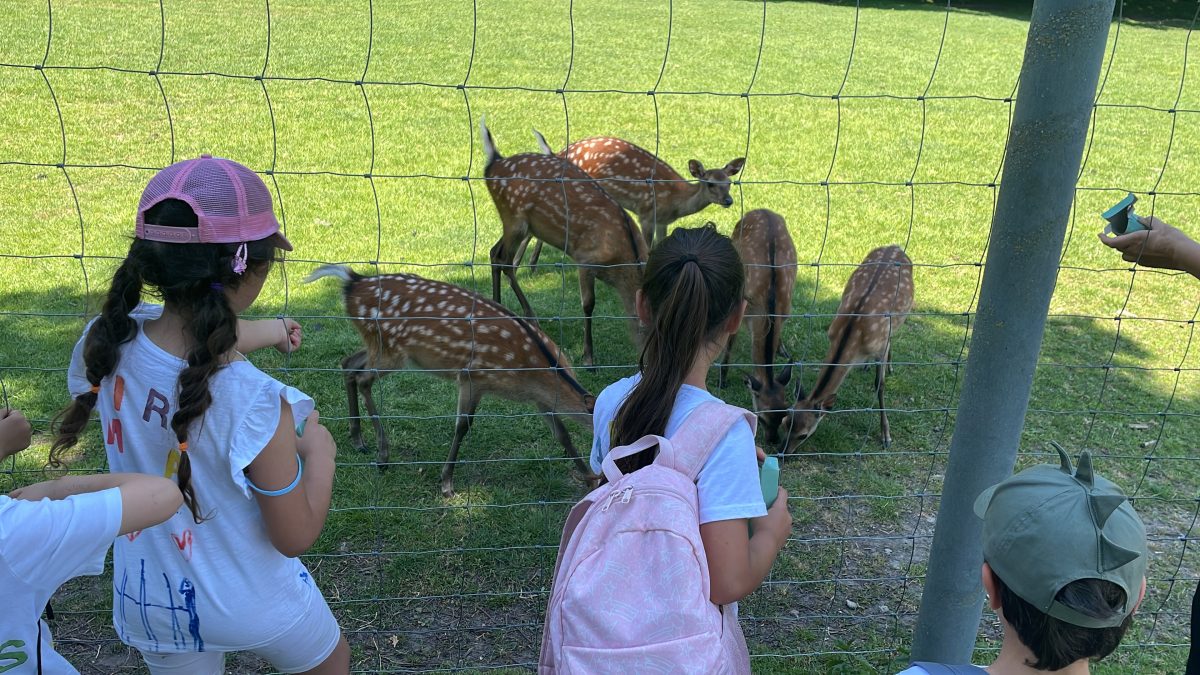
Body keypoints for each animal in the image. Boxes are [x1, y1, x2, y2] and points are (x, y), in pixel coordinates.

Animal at [304, 263, 595, 494]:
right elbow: (462, 426)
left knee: (348, 364)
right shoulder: (472, 376)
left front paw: (590, 478)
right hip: (391, 350)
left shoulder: (538, 399)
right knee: (363, 379)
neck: (531, 371)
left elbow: (562, 434)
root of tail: (352, 282)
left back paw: (358, 440)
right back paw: (382, 455)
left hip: (378, 347)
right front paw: (446, 483)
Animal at [480, 118, 648, 365]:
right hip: (514, 218)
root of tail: (494, 162)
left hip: (519, 224)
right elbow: (588, 304)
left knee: (495, 252)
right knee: (504, 259)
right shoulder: (585, 258)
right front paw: (589, 358)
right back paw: (527, 316)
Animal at [530, 130, 744, 261]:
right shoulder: (647, 212)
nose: (728, 200)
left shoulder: (663, 221)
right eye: (710, 183)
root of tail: (559, 153)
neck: (675, 200)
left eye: (729, 183)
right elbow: (648, 248)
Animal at [720, 207, 796, 444]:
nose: (773, 441)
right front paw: (722, 379)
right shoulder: (741, 306)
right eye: (761, 418)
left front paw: (782, 349)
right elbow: (729, 342)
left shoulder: (785, 310)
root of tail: (762, 210)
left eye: (784, 413)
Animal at [777, 242, 907, 451]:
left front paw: (886, 435)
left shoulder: (880, 345)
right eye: (785, 422)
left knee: (893, 335)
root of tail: (894, 246)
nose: (781, 451)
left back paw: (890, 366)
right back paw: (866, 365)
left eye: (803, 435)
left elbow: (880, 385)